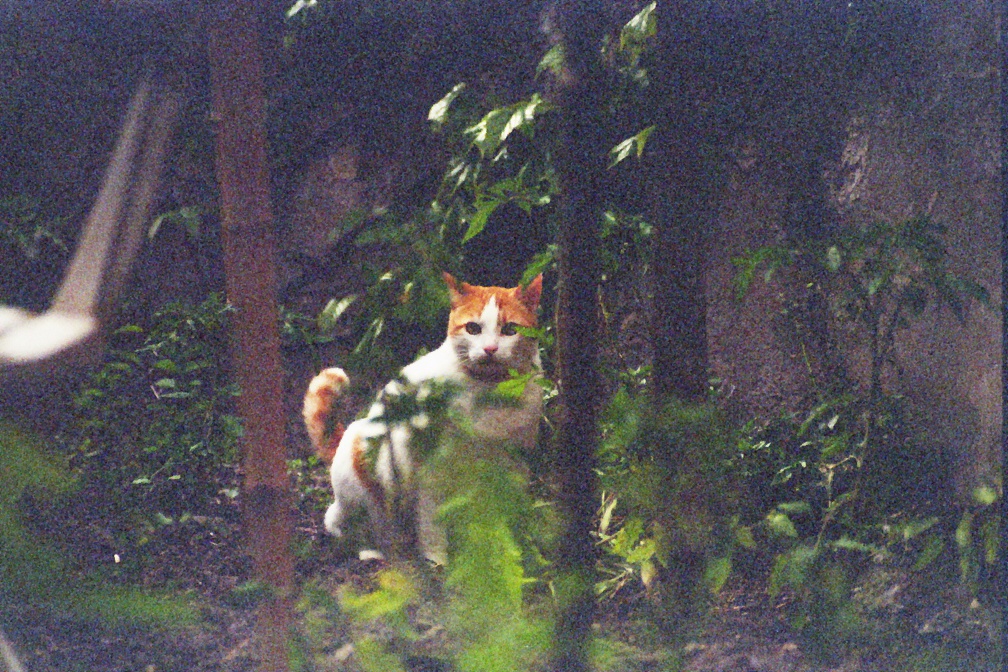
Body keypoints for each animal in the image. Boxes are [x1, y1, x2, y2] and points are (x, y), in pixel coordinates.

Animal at [302, 270, 544, 560]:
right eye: (473, 328)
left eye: (510, 330)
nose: (490, 349)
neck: (490, 392)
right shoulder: (431, 471)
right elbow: (432, 520)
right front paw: (438, 559)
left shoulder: (515, 463)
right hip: (362, 470)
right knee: (343, 521)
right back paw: (375, 549)